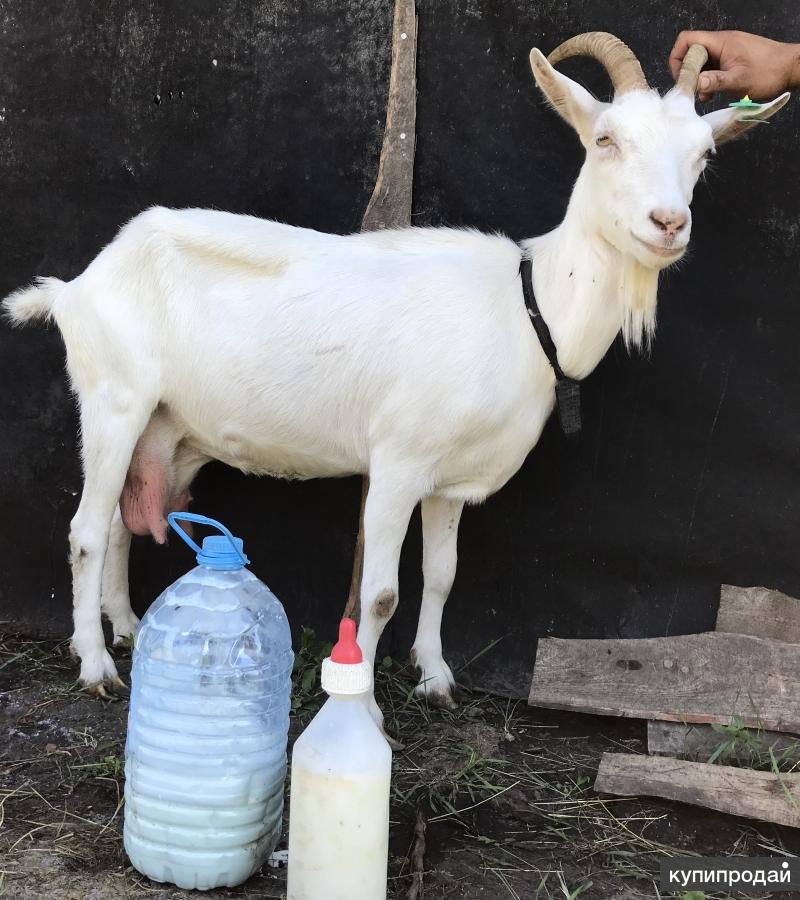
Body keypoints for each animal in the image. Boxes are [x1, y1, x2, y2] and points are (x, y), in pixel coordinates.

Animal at [0, 33, 788, 732]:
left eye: (705, 154)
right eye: (605, 141)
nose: (668, 223)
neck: (527, 305)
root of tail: (78, 286)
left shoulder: (452, 482)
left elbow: (442, 575)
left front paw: (435, 677)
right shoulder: (397, 464)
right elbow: (379, 593)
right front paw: (370, 710)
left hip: (165, 425)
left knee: (122, 521)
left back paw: (130, 628)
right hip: (113, 399)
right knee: (84, 531)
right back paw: (96, 665)